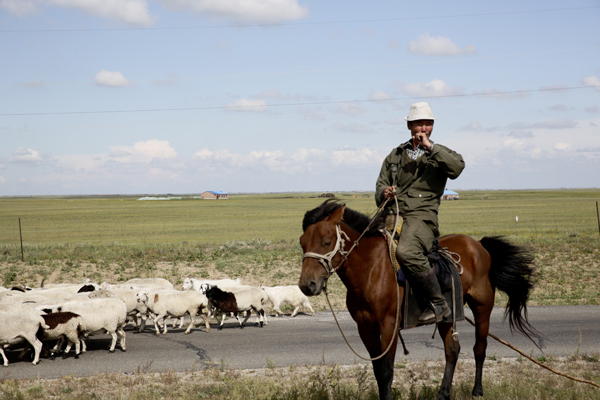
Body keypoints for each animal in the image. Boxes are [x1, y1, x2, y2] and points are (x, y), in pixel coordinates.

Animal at [298, 200, 536, 400]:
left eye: (326, 241)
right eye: (302, 243)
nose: (307, 285)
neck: (371, 269)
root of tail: (479, 245)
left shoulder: (389, 326)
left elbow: (386, 371)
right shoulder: (365, 328)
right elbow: (377, 369)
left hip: (482, 307)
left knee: (480, 347)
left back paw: (477, 390)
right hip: (447, 315)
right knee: (452, 350)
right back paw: (443, 394)